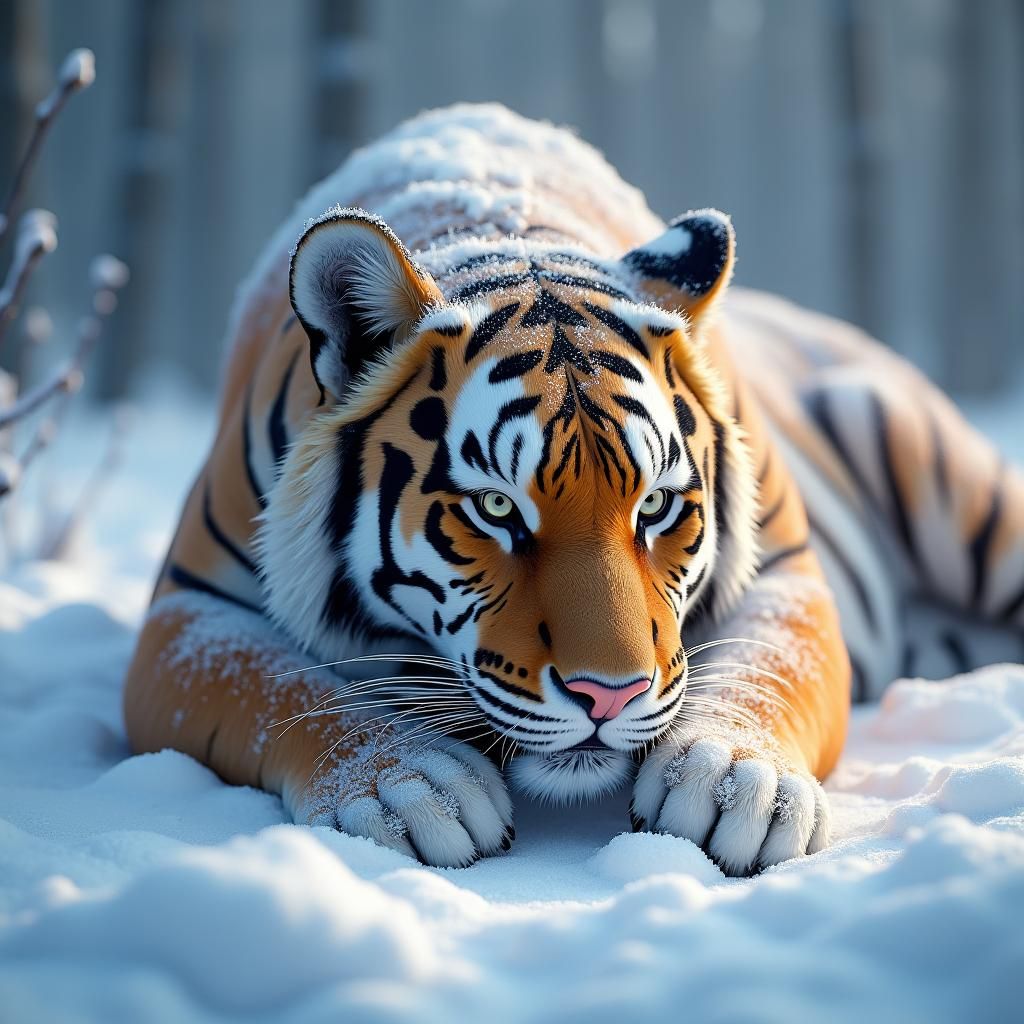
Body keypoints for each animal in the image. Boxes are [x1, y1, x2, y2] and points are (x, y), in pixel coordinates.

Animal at [124, 104, 1024, 875]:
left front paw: (737, 781)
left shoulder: (787, 572)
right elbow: (284, 690)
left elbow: (766, 668)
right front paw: (408, 786)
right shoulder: (189, 613)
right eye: (495, 508)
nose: (608, 695)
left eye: (654, 506)